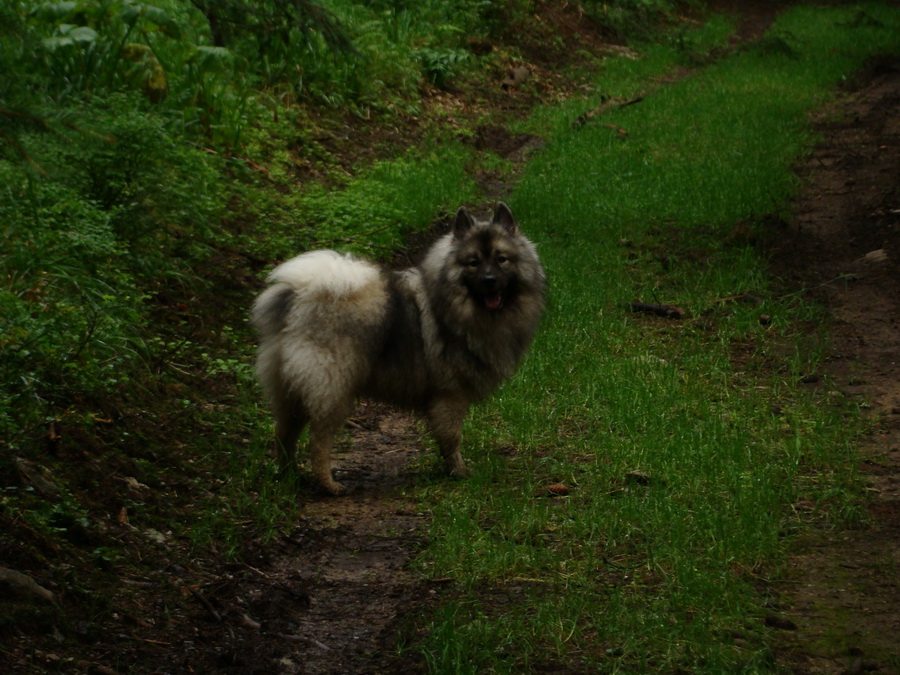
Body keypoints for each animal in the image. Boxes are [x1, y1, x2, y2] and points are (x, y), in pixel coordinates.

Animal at [255, 203, 548, 494]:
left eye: (502, 259)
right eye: (473, 262)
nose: (489, 280)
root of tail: (296, 300)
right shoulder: (450, 395)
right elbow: (452, 437)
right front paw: (459, 472)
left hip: (291, 390)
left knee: (284, 433)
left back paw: (289, 476)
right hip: (332, 389)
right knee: (319, 441)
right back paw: (329, 485)